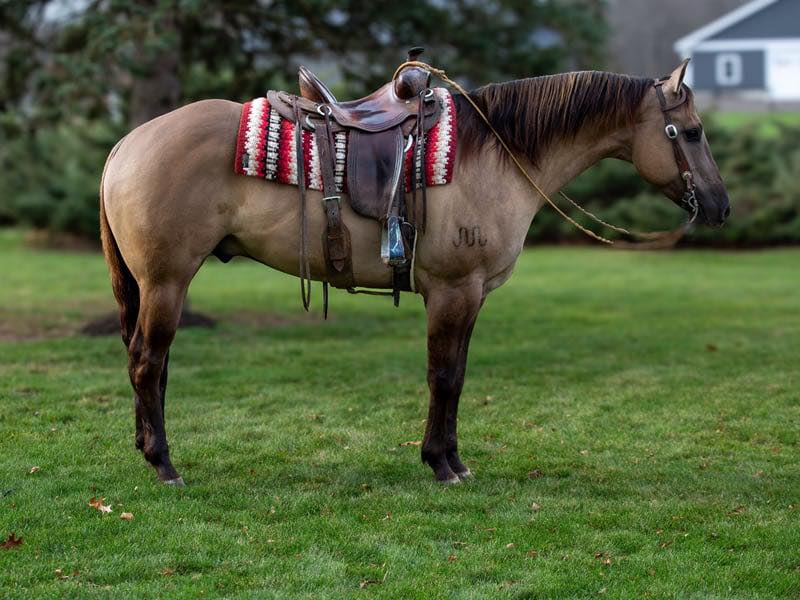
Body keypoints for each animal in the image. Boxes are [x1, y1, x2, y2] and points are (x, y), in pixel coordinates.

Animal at [99, 60, 729, 485]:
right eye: (693, 132)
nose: (721, 207)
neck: (495, 156)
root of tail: (126, 144)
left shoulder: (471, 296)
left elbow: (458, 375)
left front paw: (452, 459)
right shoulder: (454, 291)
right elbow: (443, 376)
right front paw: (440, 463)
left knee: (149, 365)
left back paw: (146, 448)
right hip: (167, 282)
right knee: (147, 362)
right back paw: (164, 464)